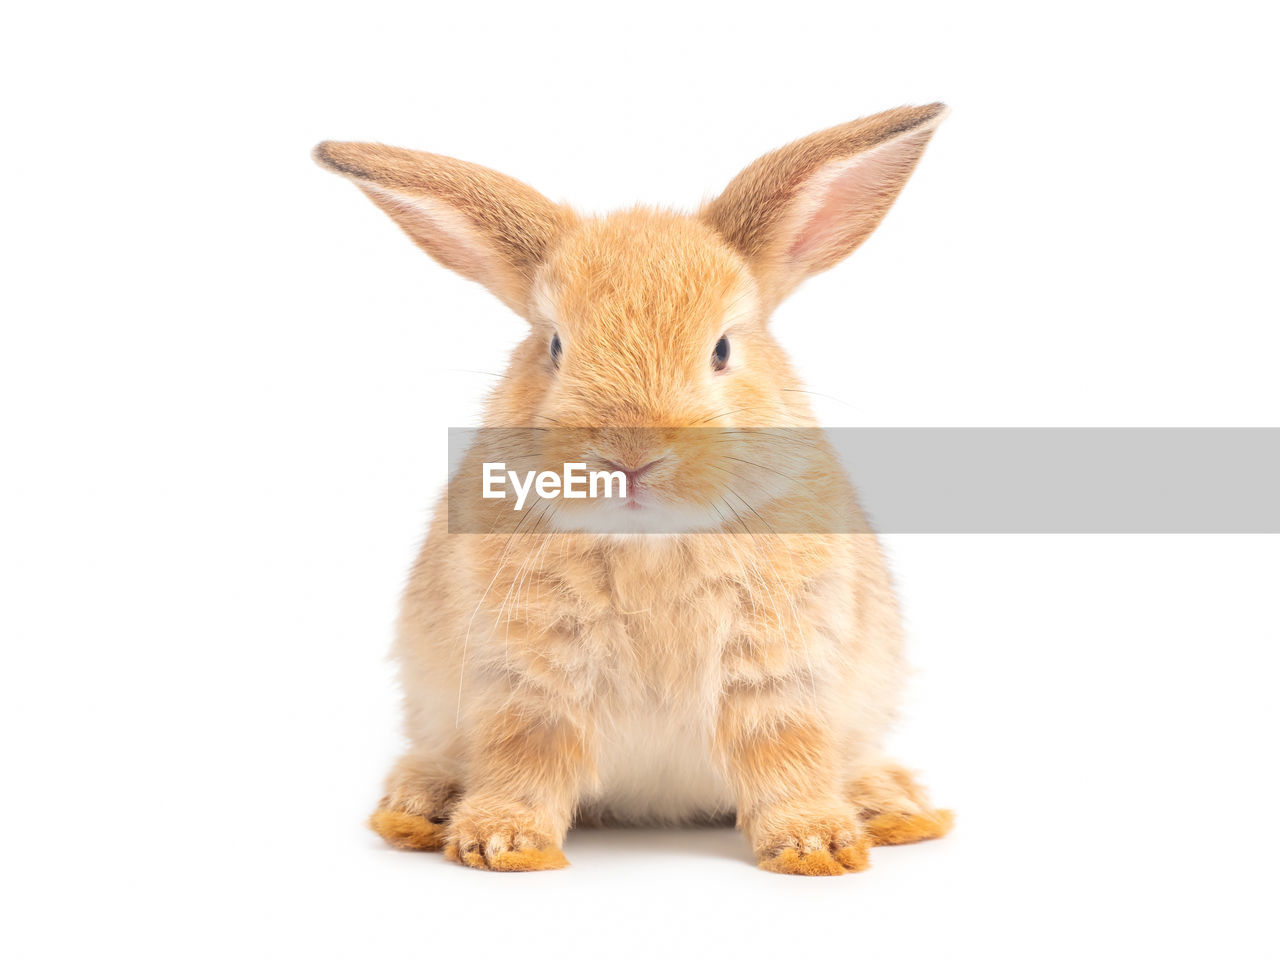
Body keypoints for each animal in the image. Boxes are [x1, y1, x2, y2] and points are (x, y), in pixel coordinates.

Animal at [309, 104, 952, 880]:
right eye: (554, 346)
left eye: (722, 350)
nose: (629, 458)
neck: (650, 541)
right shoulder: (526, 683)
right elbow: (524, 759)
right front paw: (500, 845)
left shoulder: (780, 676)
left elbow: (786, 758)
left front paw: (817, 847)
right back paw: (414, 811)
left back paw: (894, 808)